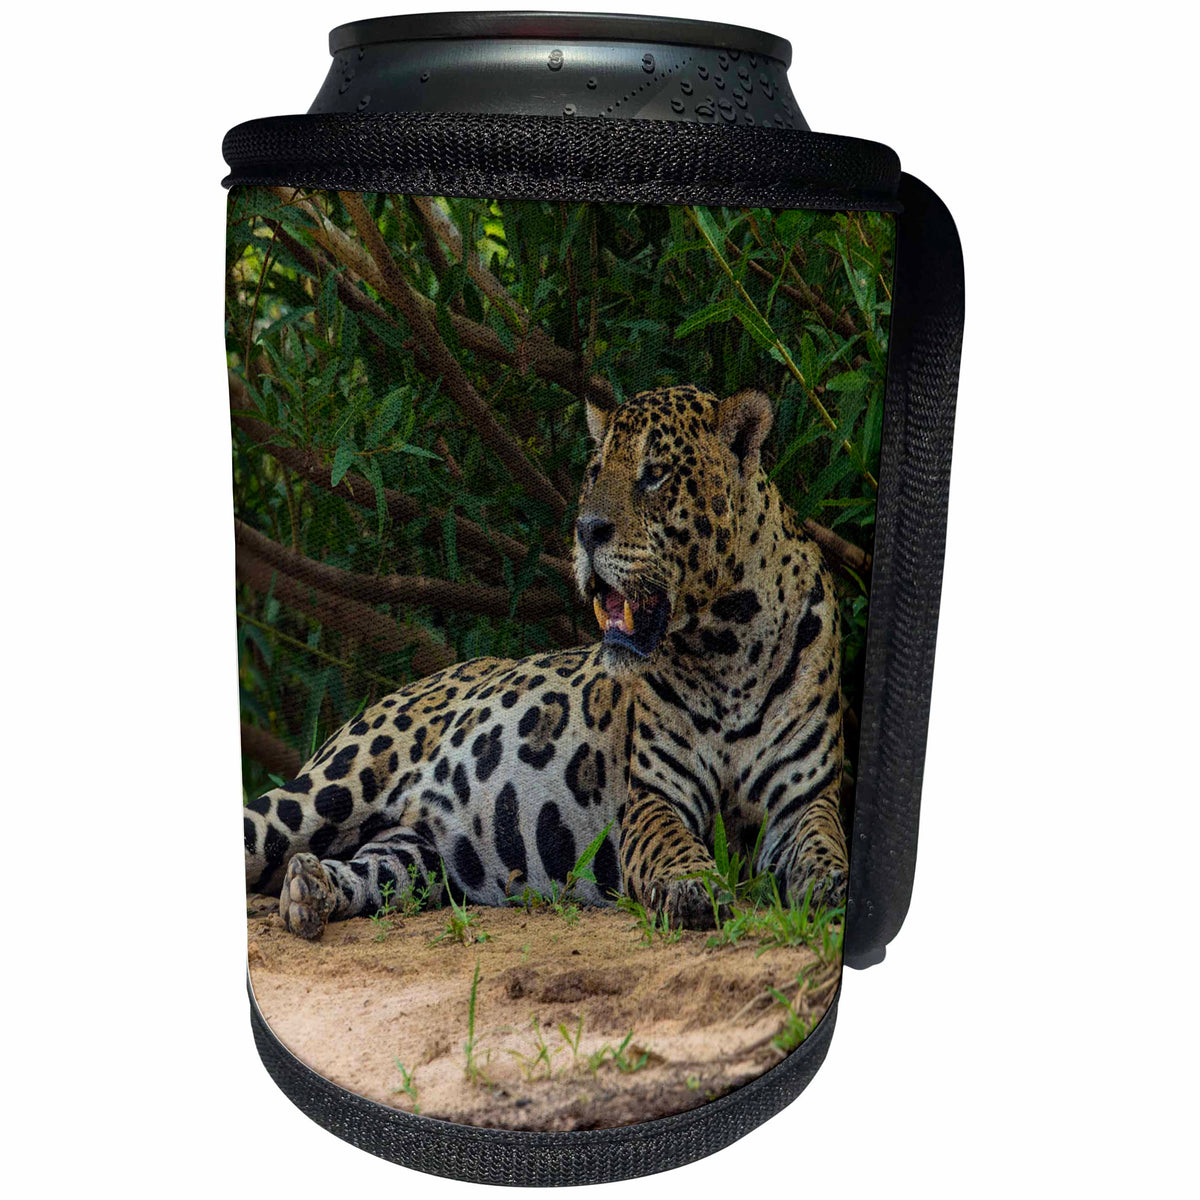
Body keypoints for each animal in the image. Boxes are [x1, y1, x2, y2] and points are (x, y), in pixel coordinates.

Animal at [243, 384, 849, 938]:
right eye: (594, 472)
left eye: (654, 474)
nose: (585, 530)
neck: (724, 648)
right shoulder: (654, 797)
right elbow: (670, 843)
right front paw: (690, 885)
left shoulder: (806, 800)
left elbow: (826, 844)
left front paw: (835, 887)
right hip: (332, 788)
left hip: (417, 854)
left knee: (373, 868)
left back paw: (310, 891)